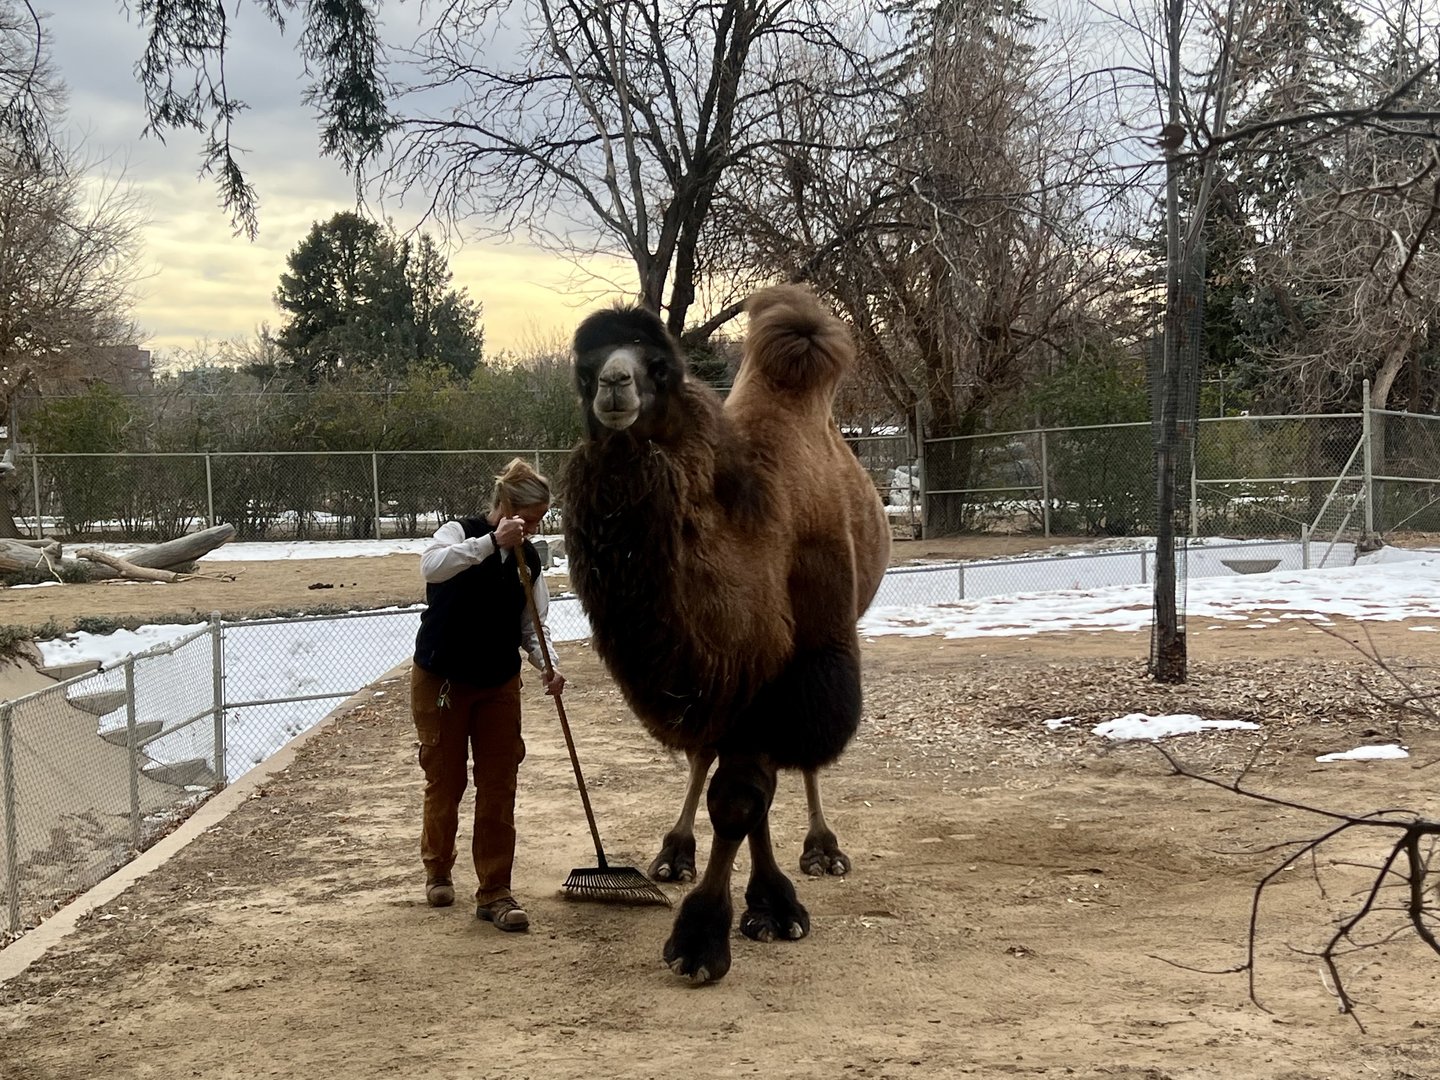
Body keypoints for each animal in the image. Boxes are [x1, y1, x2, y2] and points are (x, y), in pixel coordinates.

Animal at [561, 284, 890, 983]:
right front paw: (752, 910)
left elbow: (745, 799)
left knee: (803, 761)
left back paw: (823, 850)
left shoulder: (798, 665)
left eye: (660, 366)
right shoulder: (730, 678)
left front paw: (718, 933)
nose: (614, 384)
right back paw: (673, 854)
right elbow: (737, 790)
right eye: (583, 367)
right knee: (707, 758)